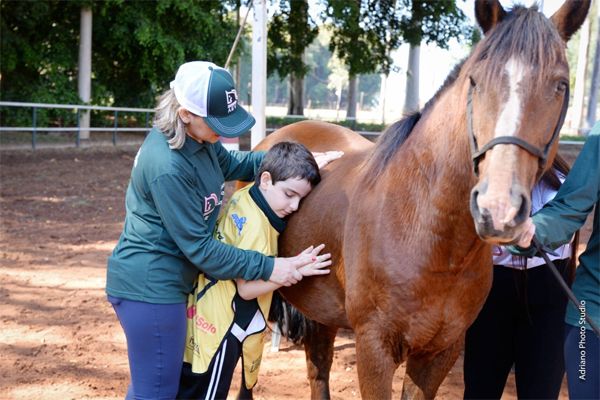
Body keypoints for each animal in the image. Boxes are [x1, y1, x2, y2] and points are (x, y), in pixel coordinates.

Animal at [247, 1, 584, 398]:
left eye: (561, 84)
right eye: (475, 80)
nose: (499, 210)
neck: (426, 230)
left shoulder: (440, 352)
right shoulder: (373, 347)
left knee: (318, 371)